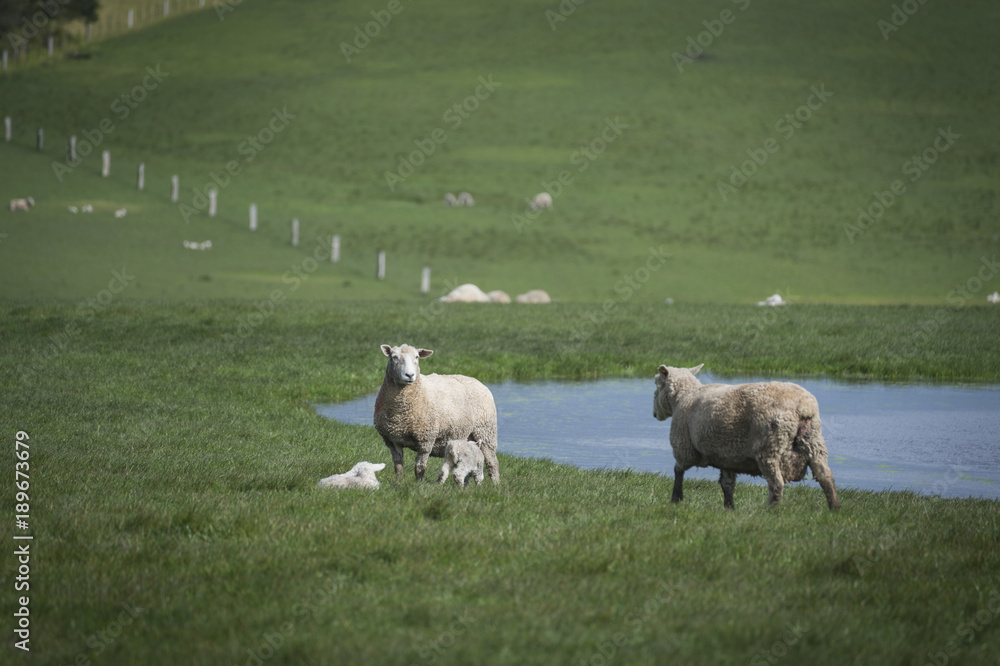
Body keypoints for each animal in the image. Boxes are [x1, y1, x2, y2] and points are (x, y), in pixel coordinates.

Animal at [374, 344, 500, 484]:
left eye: (416, 357)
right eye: (394, 357)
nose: (410, 375)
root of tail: (478, 381)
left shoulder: (426, 439)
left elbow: (420, 467)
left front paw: (419, 484)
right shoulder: (392, 440)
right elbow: (398, 465)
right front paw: (398, 483)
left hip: (486, 431)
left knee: (492, 463)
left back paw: (495, 484)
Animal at [653, 364, 840, 510]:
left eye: (657, 385)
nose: (654, 414)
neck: (684, 396)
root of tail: (802, 406)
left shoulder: (684, 447)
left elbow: (678, 470)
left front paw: (676, 498)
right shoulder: (726, 456)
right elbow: (727, 484)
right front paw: (729, 509)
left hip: (770, 447)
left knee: (777, 485)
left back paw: (770, 512)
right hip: (813, 440)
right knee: (825, 476)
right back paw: (834, 509)